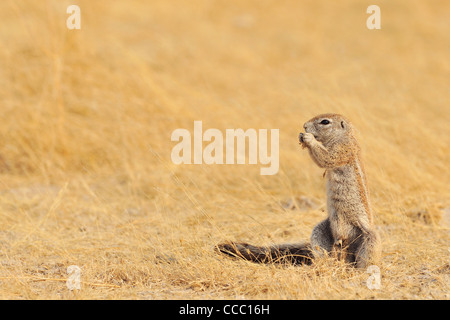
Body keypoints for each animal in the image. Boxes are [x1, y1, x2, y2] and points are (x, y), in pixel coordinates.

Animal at [217, 114, 380, 268]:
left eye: (325, 122)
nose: (304, 126)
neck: (343, 136)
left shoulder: (342, 149)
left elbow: (327, 157)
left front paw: (308, 138)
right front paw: (302, 136)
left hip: (369, 238)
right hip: (321, 230)